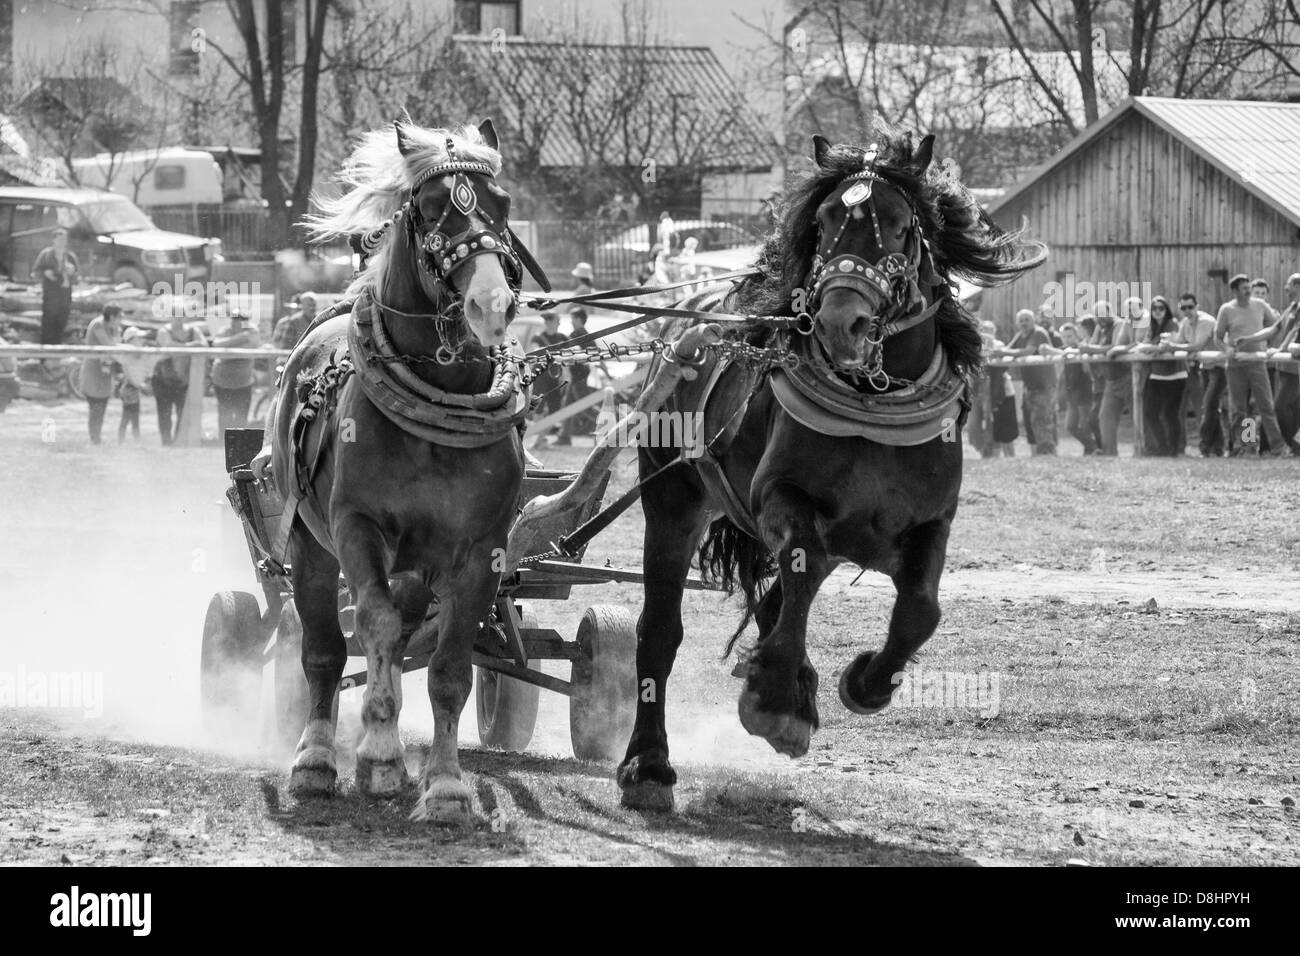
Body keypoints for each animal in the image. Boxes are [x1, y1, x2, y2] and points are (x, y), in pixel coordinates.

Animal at [269, 119, 533, 822]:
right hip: (309, 543)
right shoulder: (356, 528)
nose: (491, 303)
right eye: (435, 207)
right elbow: (373, 628)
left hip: (419, 563)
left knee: (406, 627)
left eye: (502, 203)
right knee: (329, 646)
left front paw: (444, 786)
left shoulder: (483, 552)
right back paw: (320, 756)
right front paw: (382, 756)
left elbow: (448, 668)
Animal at [616, 119, 1045, 806]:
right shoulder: (781, 498)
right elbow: (801, 563)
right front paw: (773, 698)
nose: (842, 320)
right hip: (673, 499)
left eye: (899, 224)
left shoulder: (928, 524)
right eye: (822, 222)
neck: (871, 398)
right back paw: (649, 764)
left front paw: (861, 682)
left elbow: (919, 609)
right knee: (660, 630)